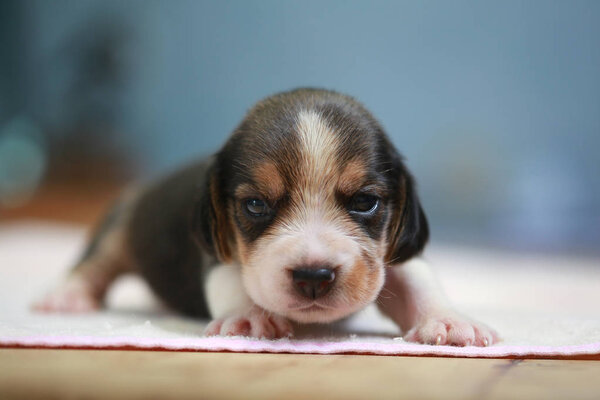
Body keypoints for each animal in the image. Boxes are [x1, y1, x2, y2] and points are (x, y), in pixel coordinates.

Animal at [36, 89, 496, 346]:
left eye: (365, 201)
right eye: (256, 205)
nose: (313, 276)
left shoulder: (389, 256)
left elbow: (419, 281)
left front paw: (450, 321)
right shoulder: (218, 249)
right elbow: (229, 279)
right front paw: (250, 316)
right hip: (117, 228)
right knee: (93, 263)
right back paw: (66, 296)